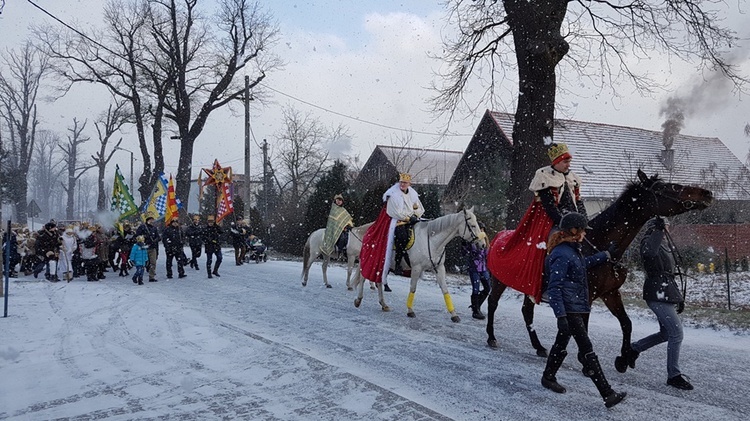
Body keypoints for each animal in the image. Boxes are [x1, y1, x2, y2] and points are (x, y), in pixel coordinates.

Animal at [354, 207, 488, 322]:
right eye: (472, 225)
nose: (482, 244)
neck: (432, 241)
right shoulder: (416, 268)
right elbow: (413, 288)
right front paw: (410, 310)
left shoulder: (439, 268)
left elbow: (445, 290)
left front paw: (454, 314)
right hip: (371, 260)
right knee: (363, 278)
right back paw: (358, 300)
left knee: (378, 281)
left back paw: (383, 304)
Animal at [488, 169, 716, 360]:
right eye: (667, 187)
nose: (706, 193)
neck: (601, 245)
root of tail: (498, 236)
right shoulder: (585, 296)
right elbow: (584, 327)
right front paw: (585, 359)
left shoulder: (610, 293)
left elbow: (626, 323)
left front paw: (625, 357)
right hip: (499, 281)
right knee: (492, 303)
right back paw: (491, 337)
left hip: (530, 288)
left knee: (527, 312)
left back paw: (539, 347)